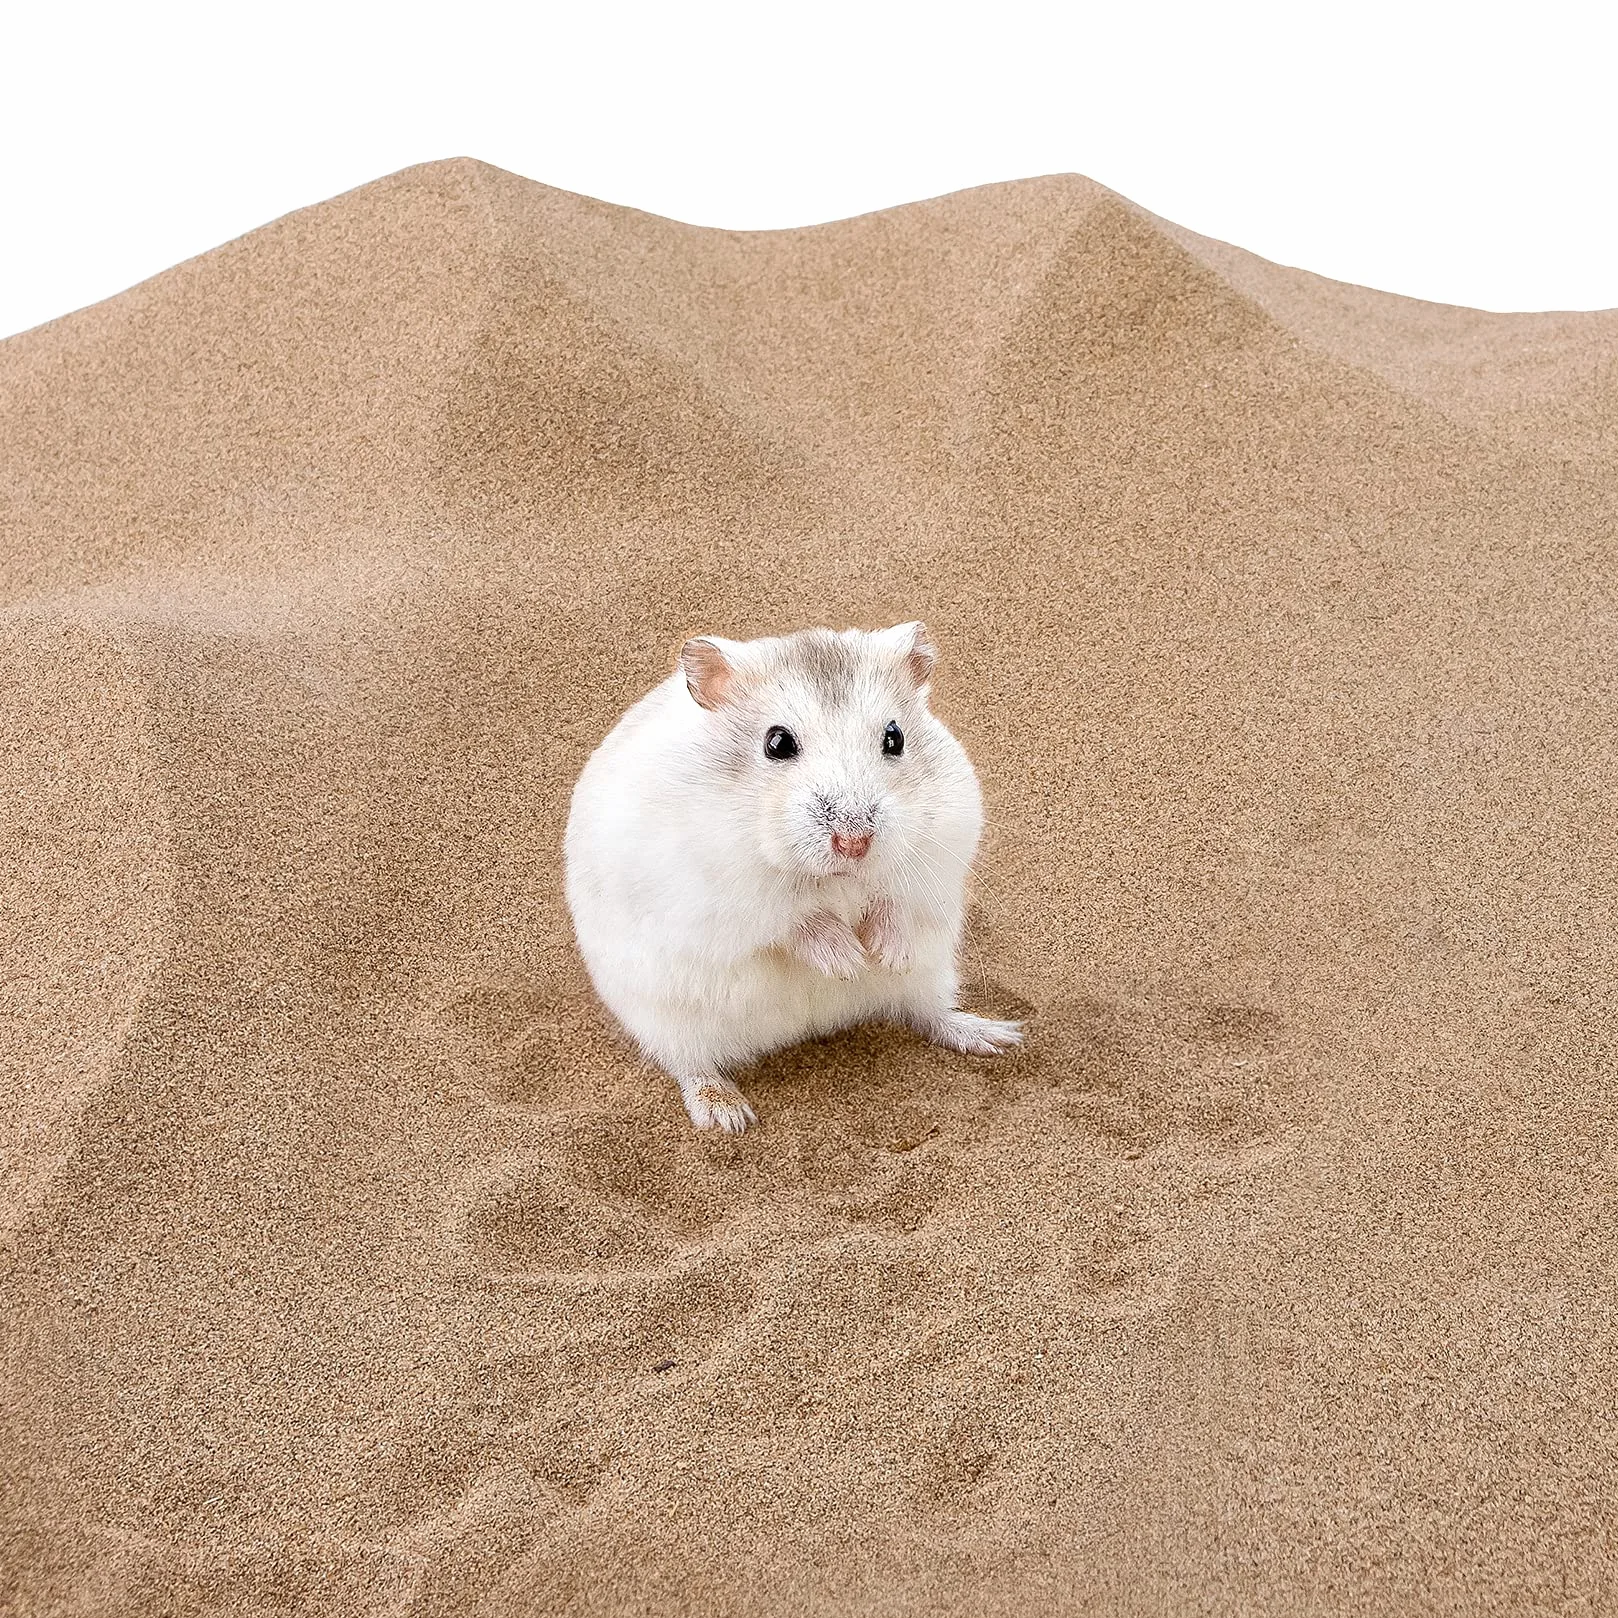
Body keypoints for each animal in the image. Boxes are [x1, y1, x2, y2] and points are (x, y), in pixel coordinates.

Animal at [563, 622, 1021, 1133]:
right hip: (667, 1017)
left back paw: (995, 1036)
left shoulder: (938, 851)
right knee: (690, 1064)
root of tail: (811, 1026)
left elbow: (893, 901)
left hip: (933, 973)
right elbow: (794, 921)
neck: (836, 877)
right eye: (777, 743)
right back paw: (727, 1115)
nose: (854, 842)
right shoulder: (726, 894)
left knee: (928, 1014)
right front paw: (849, 962)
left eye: (895, 737)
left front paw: (885, 956)